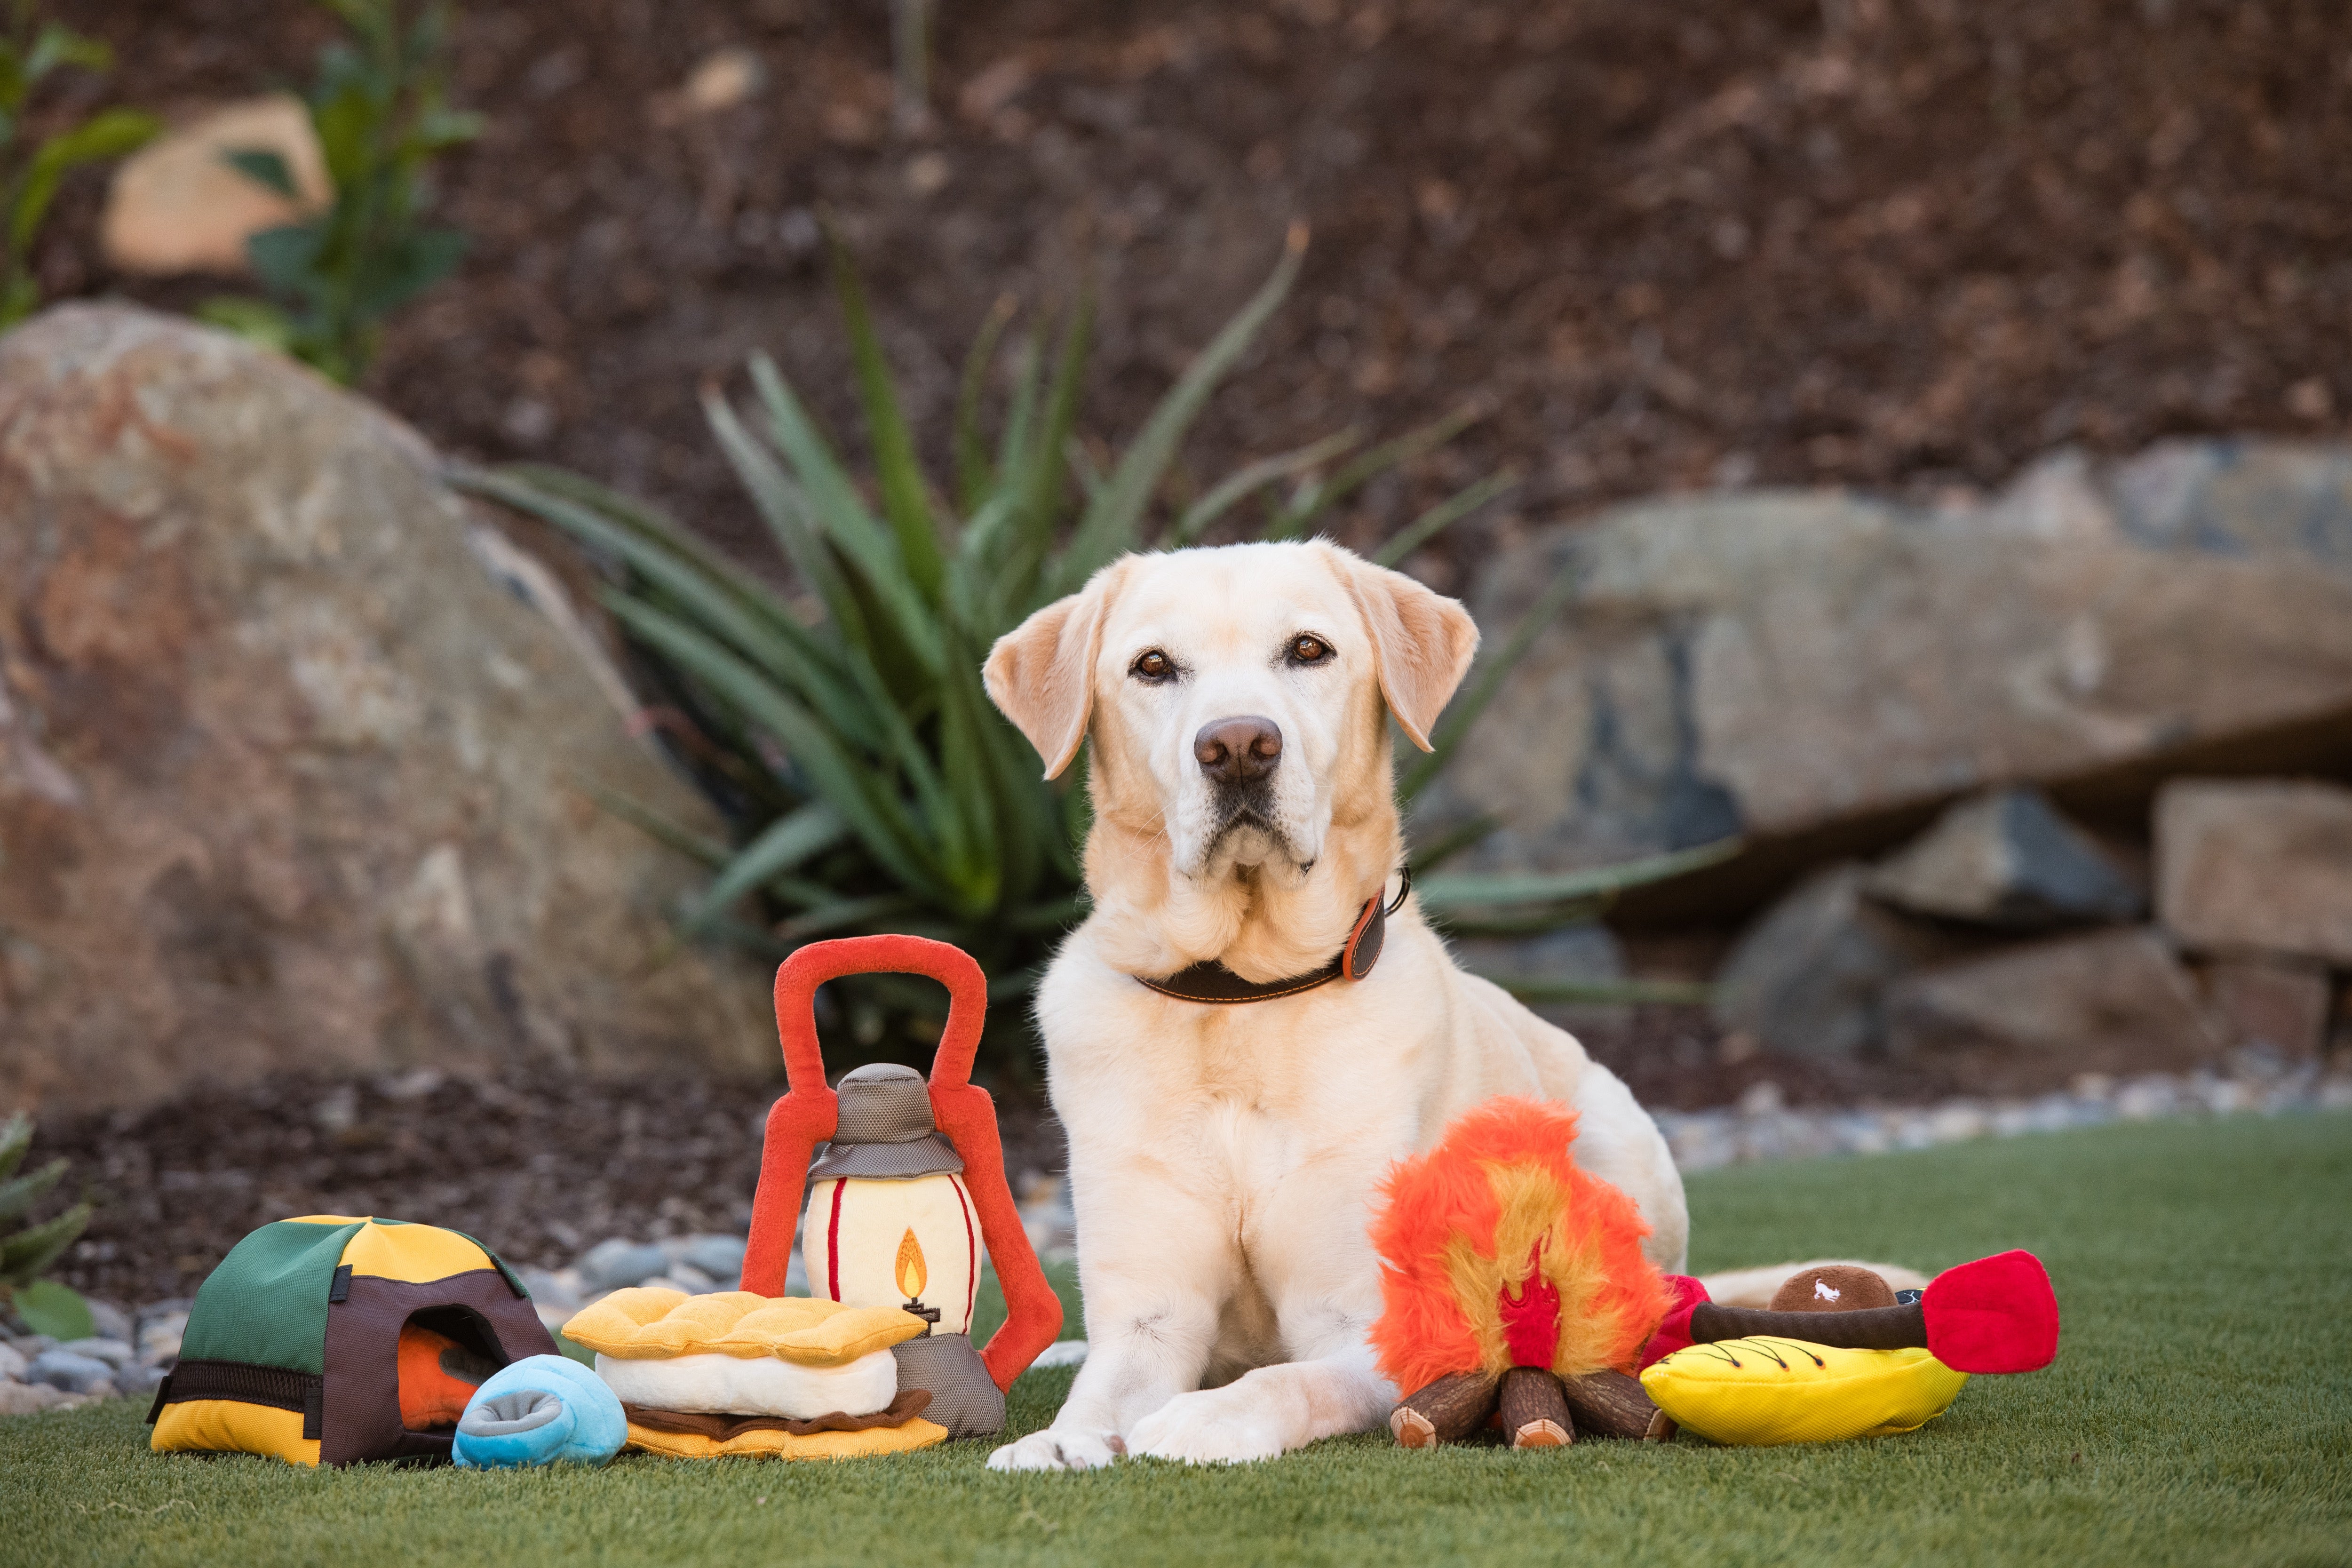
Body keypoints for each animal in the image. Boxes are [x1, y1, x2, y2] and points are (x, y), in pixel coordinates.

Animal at [978, 543, 1693, 1476]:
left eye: (1308, 650)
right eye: (1153, 667)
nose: (1239, 747)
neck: (1241, 994)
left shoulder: (1371, 1325)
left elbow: (1291, 1381)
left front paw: (1206, 1417)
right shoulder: (1149, 1318)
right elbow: (1103, 1389)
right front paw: (1062, 1440)